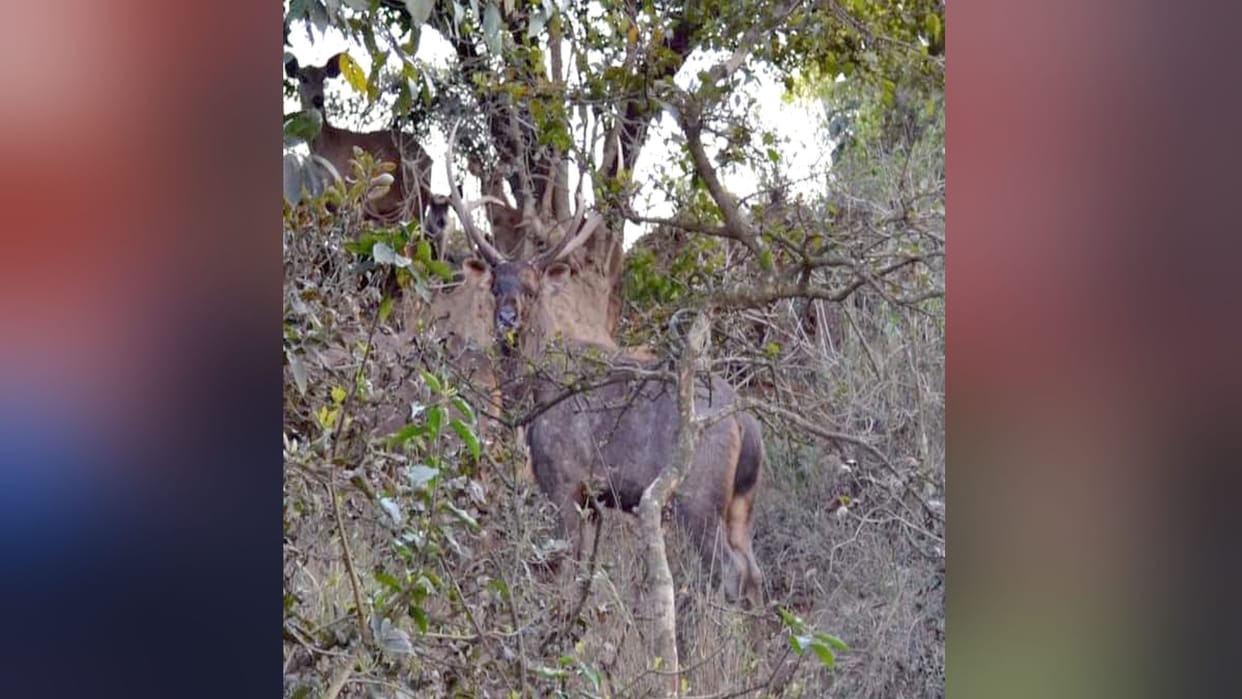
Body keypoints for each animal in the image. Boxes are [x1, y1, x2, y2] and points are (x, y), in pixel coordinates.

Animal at [285, 53, 433, 226]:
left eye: (323, 78)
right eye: (303, 77)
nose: (318, 99)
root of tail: (428, 158)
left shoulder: (348, 196)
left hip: (412, 198)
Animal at [439, 125, 764, 606]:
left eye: (532, 288)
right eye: (496, 285)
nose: (507, 318)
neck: (529, 400)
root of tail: (747, 423)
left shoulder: (563, 479)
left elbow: (563, 565)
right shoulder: (593, 499)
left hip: (697, 493)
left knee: (728, 568)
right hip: (742, 500)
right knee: (754, 569)